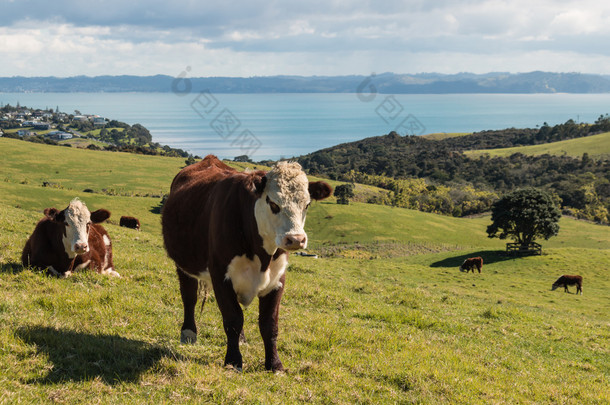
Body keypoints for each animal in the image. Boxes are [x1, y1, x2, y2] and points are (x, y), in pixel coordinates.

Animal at [162, 156, 330, 370]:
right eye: (273, 203)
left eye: (307, 204)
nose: (296, 239)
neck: (262, 256)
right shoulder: (220, 276)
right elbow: (233, 319)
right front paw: (233, 361)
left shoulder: (277, 280)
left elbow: (269, 324)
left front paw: (274, 364)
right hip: (183, 264)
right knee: (189, 297)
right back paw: (189, 332)